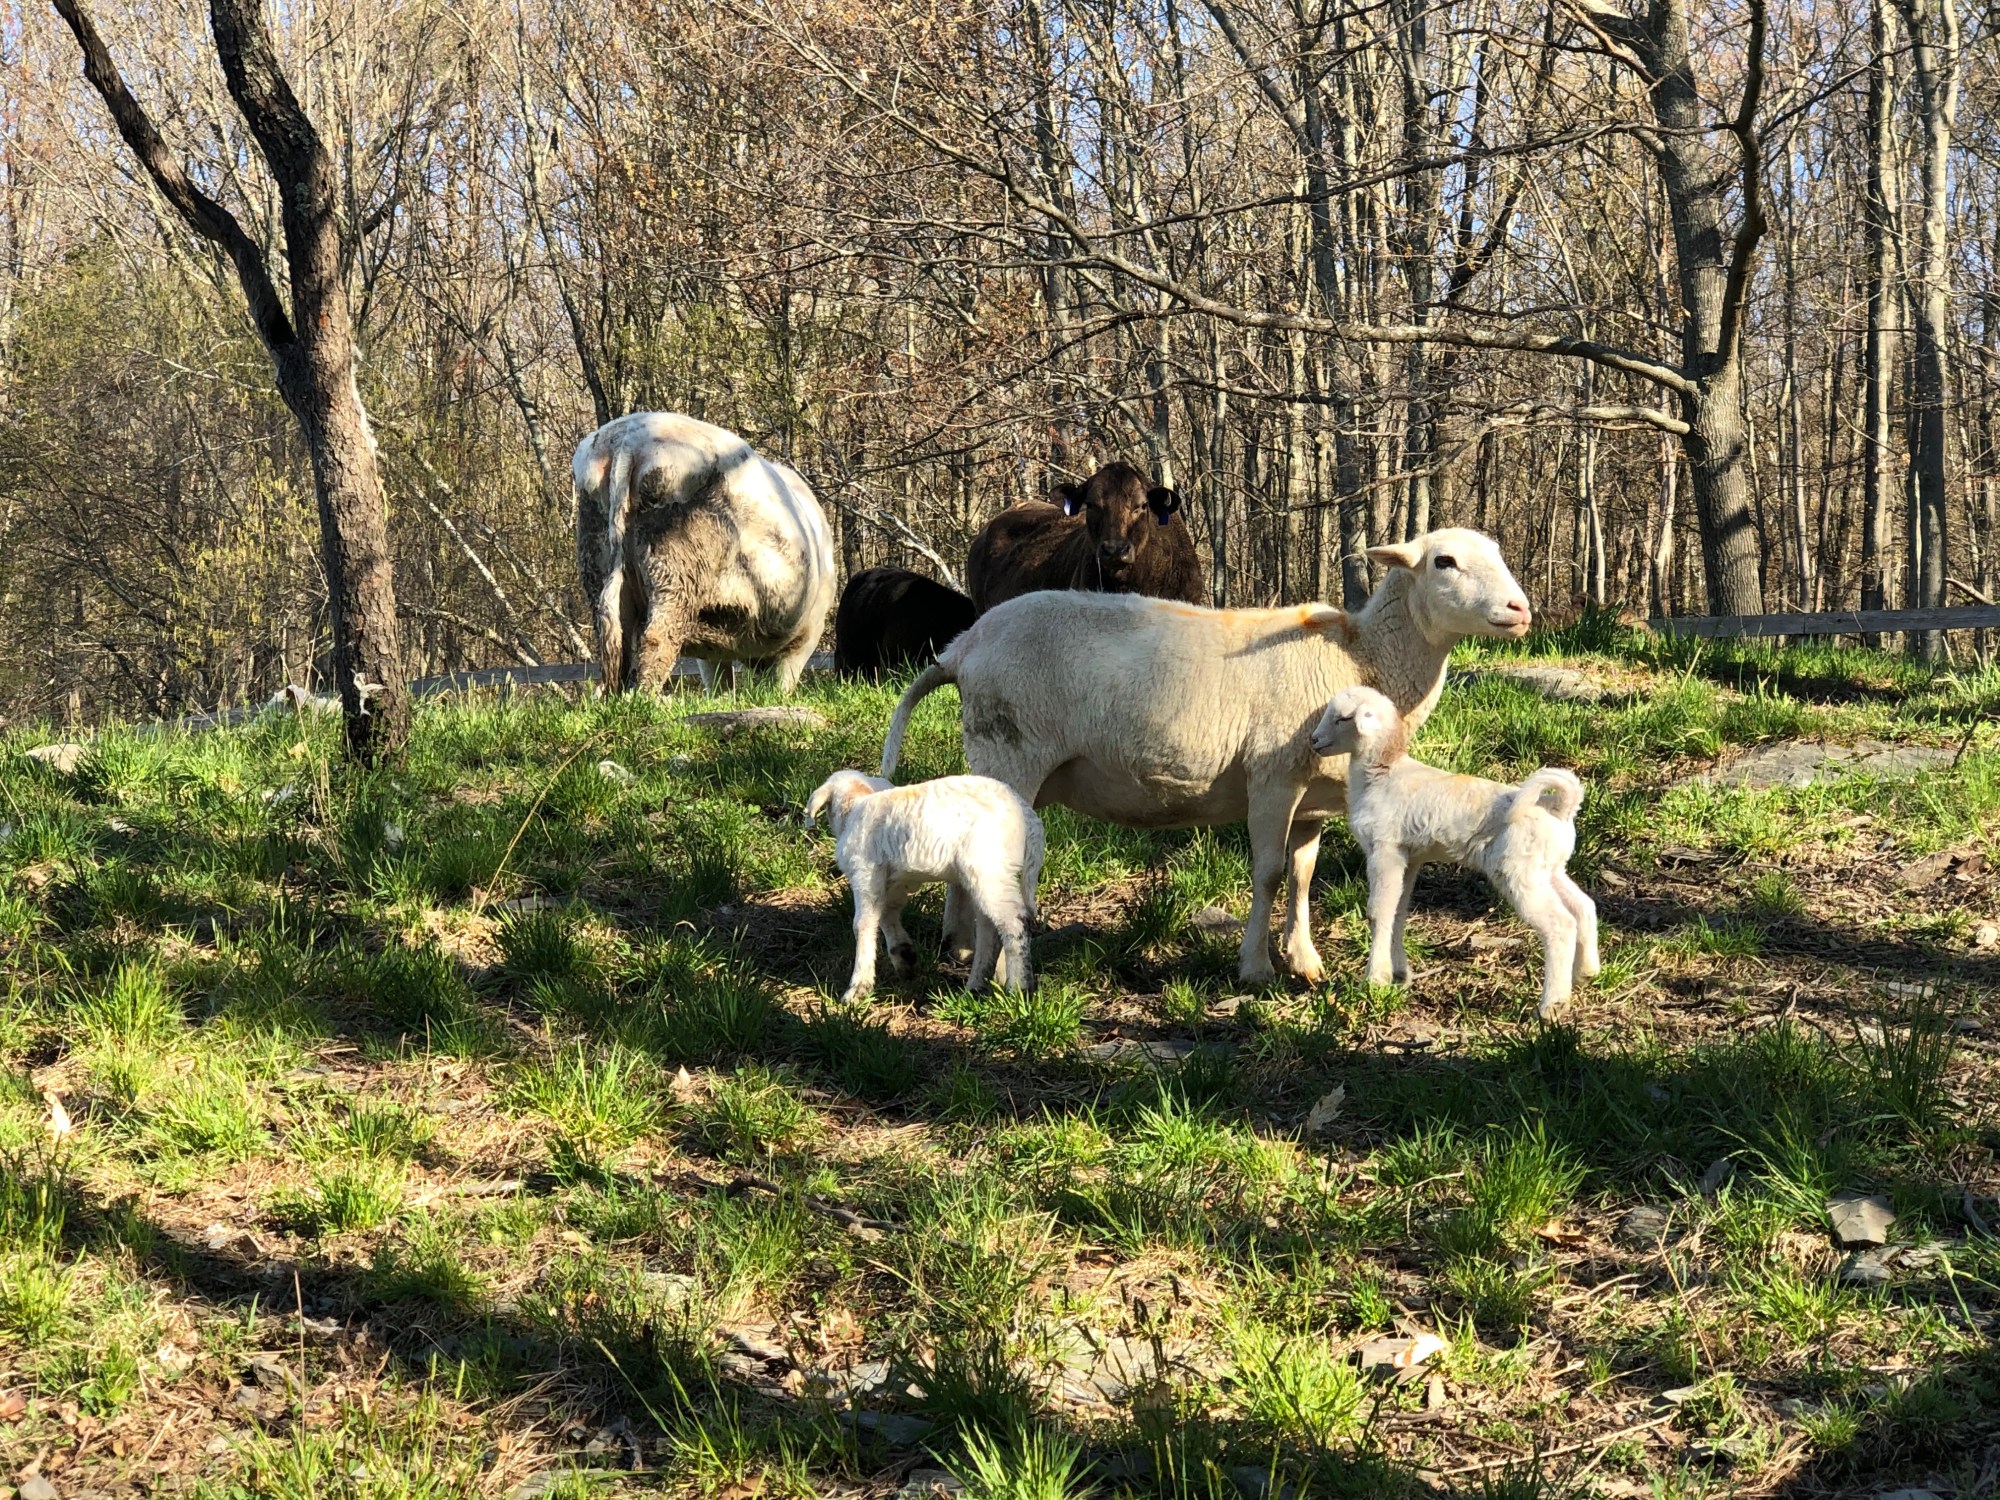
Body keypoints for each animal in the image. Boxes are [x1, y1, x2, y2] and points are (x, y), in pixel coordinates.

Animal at [572, 412, 836, 692]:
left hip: (596, 559)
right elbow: (780, 685)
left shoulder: (712, 651)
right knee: (657, 639)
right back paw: (645, 696)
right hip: (676, 569)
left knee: (613, 640)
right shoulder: (804, 638)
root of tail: (629, 439)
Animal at [804, 768, 1048, 1004]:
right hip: (988, 875)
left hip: (989, 867)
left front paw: (857, 989)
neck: (855, 804)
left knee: (1014, 922)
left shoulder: (865, 871)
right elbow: (886, 913)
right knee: (989, 929)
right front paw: (904, 956)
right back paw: (976, 987)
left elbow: (863, 923)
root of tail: (1026, 814)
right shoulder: (897, 879)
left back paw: (1018, 988)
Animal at [1312, 692, 1592, 1024]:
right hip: (1548, 868)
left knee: (1560, 924)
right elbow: (1399, 910)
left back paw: (1552, 1005)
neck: (1383, 774)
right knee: (1583, 906)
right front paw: (1399, 974)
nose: (1314, 741)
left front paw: (1375, 980)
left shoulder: (1384, 849)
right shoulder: (1410, 856)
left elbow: (1379, 912)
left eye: (1343, 718)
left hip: (1518, 870)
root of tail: (1560, 807)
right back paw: (1586, 972)